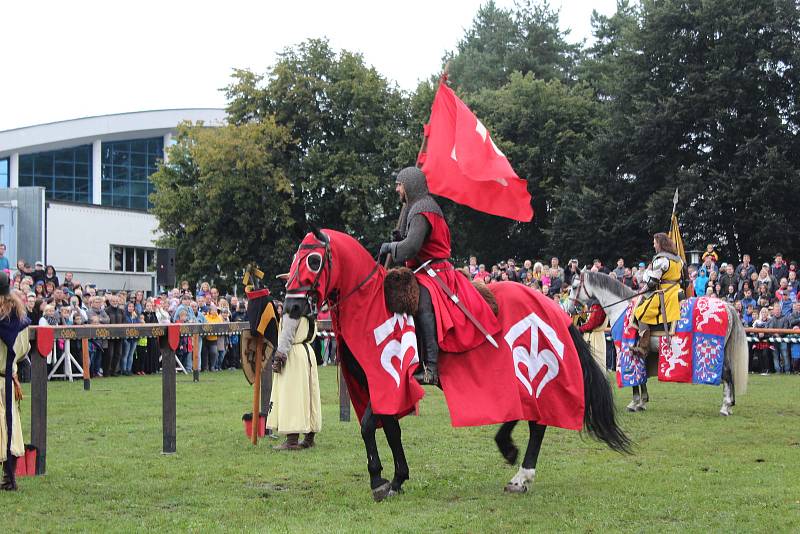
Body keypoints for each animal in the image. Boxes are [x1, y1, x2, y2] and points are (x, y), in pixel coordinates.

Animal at [568, 272, 752, 418]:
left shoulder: (626, 351)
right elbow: (642, 378)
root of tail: (727, 306)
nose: (570, 309)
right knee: (729, 373)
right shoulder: (642, 353)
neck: (621, 307)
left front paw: (634, 403)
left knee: (726, 375)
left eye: (575, 286)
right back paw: (730, 404)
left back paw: (725, 406)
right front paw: (642, 403)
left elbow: (634, 378)